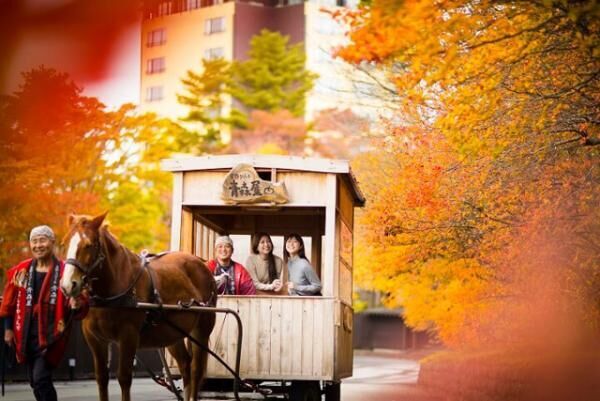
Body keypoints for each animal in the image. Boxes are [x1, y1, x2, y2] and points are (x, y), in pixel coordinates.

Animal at [58, 211, 217, 398]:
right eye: (64, 243)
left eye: (89, 245)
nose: (68, 285)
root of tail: (201, 263)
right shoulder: (95, 339)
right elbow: (102, 379)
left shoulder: (128, 335)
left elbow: (124, 378)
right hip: (172, 332)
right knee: (185, 365)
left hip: (202, 329)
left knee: (195, 370)